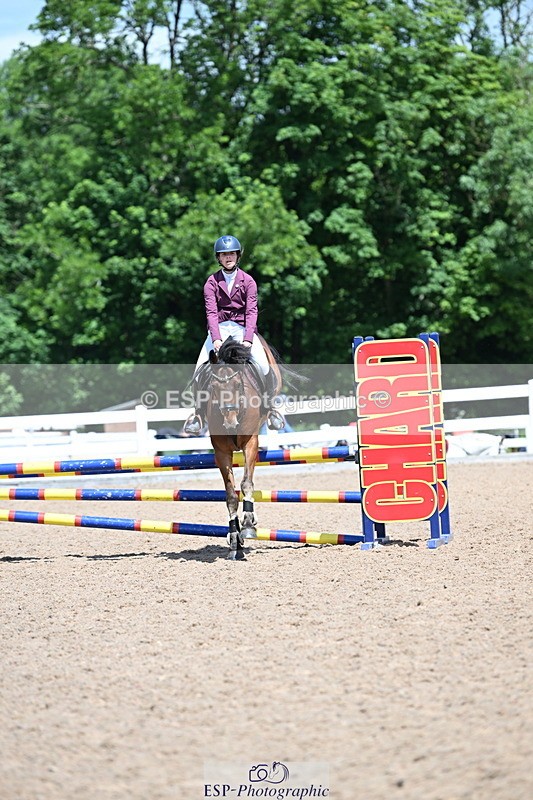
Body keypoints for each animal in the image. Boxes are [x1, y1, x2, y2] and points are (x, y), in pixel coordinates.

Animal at [202, 336, 283, 560]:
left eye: (238, 385)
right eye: (214, 386)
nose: (230, 423)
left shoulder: (250, 444)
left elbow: (246, 483)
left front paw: (247, 524)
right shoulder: (221, 452)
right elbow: (231, 495)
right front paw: (234, 540)